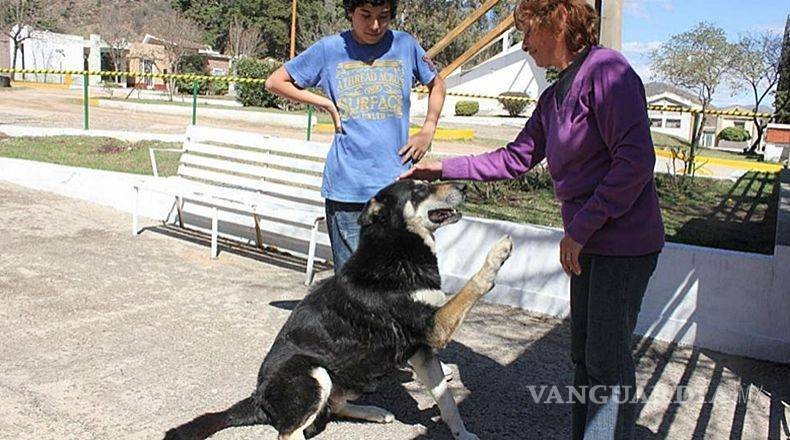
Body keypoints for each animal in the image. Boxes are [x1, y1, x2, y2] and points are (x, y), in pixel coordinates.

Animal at [164, 180, 516, 440]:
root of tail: (258, 398)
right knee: (291, 432)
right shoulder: (434, 327)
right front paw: (496, 255)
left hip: (350, 376)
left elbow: (447, 401)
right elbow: (472, 286)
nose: (466, 186)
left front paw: (462, 434)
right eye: (419, 190)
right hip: (313, 373)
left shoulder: (422, 350)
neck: (399, 249)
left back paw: (375, 412)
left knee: (333, 407)